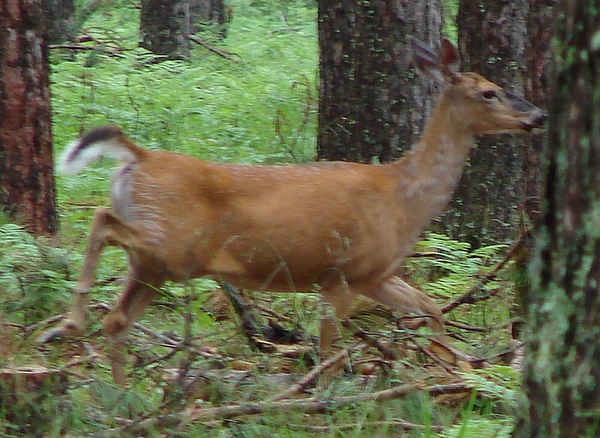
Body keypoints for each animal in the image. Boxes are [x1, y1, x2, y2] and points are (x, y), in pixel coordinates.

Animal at [39, 39, 548, 384]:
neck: (403, 199)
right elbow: (328, 356)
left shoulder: (376, 274)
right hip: (177, 247)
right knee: (102, 222)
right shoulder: (342, 273)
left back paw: (120, 394)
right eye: (490, 92)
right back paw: (68, 323)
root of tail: (138, 157)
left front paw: (447, 368)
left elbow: (434, 309)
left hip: (156, 264)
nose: (538, 116)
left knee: (117, 320)